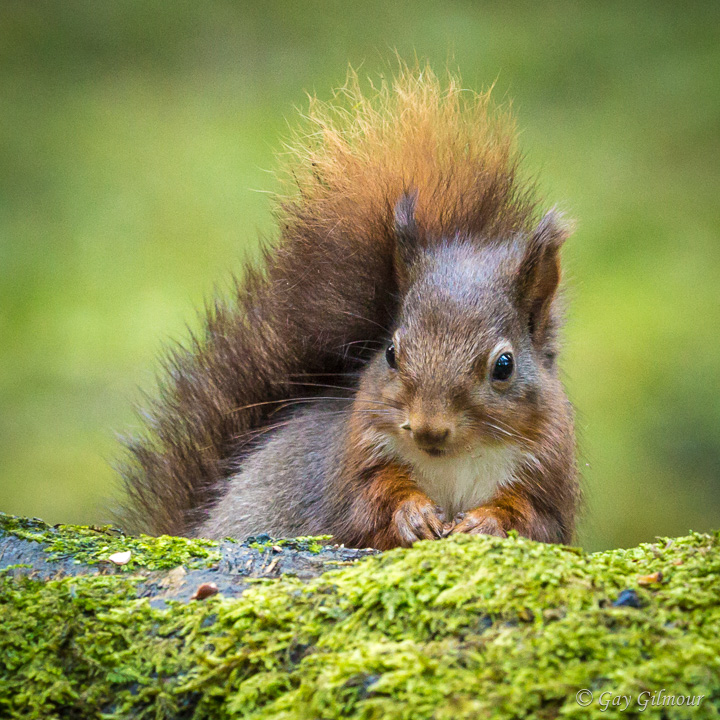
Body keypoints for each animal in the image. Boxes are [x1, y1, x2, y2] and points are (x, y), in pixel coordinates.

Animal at [119, 65, 579, 547]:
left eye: (504, 366)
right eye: (391, 353)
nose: (429, 428)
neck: (453, 461)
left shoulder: (547, 484)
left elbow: (531, 519)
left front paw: (485, 522)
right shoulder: (352, 470)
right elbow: (368, 507)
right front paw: (412, 514)